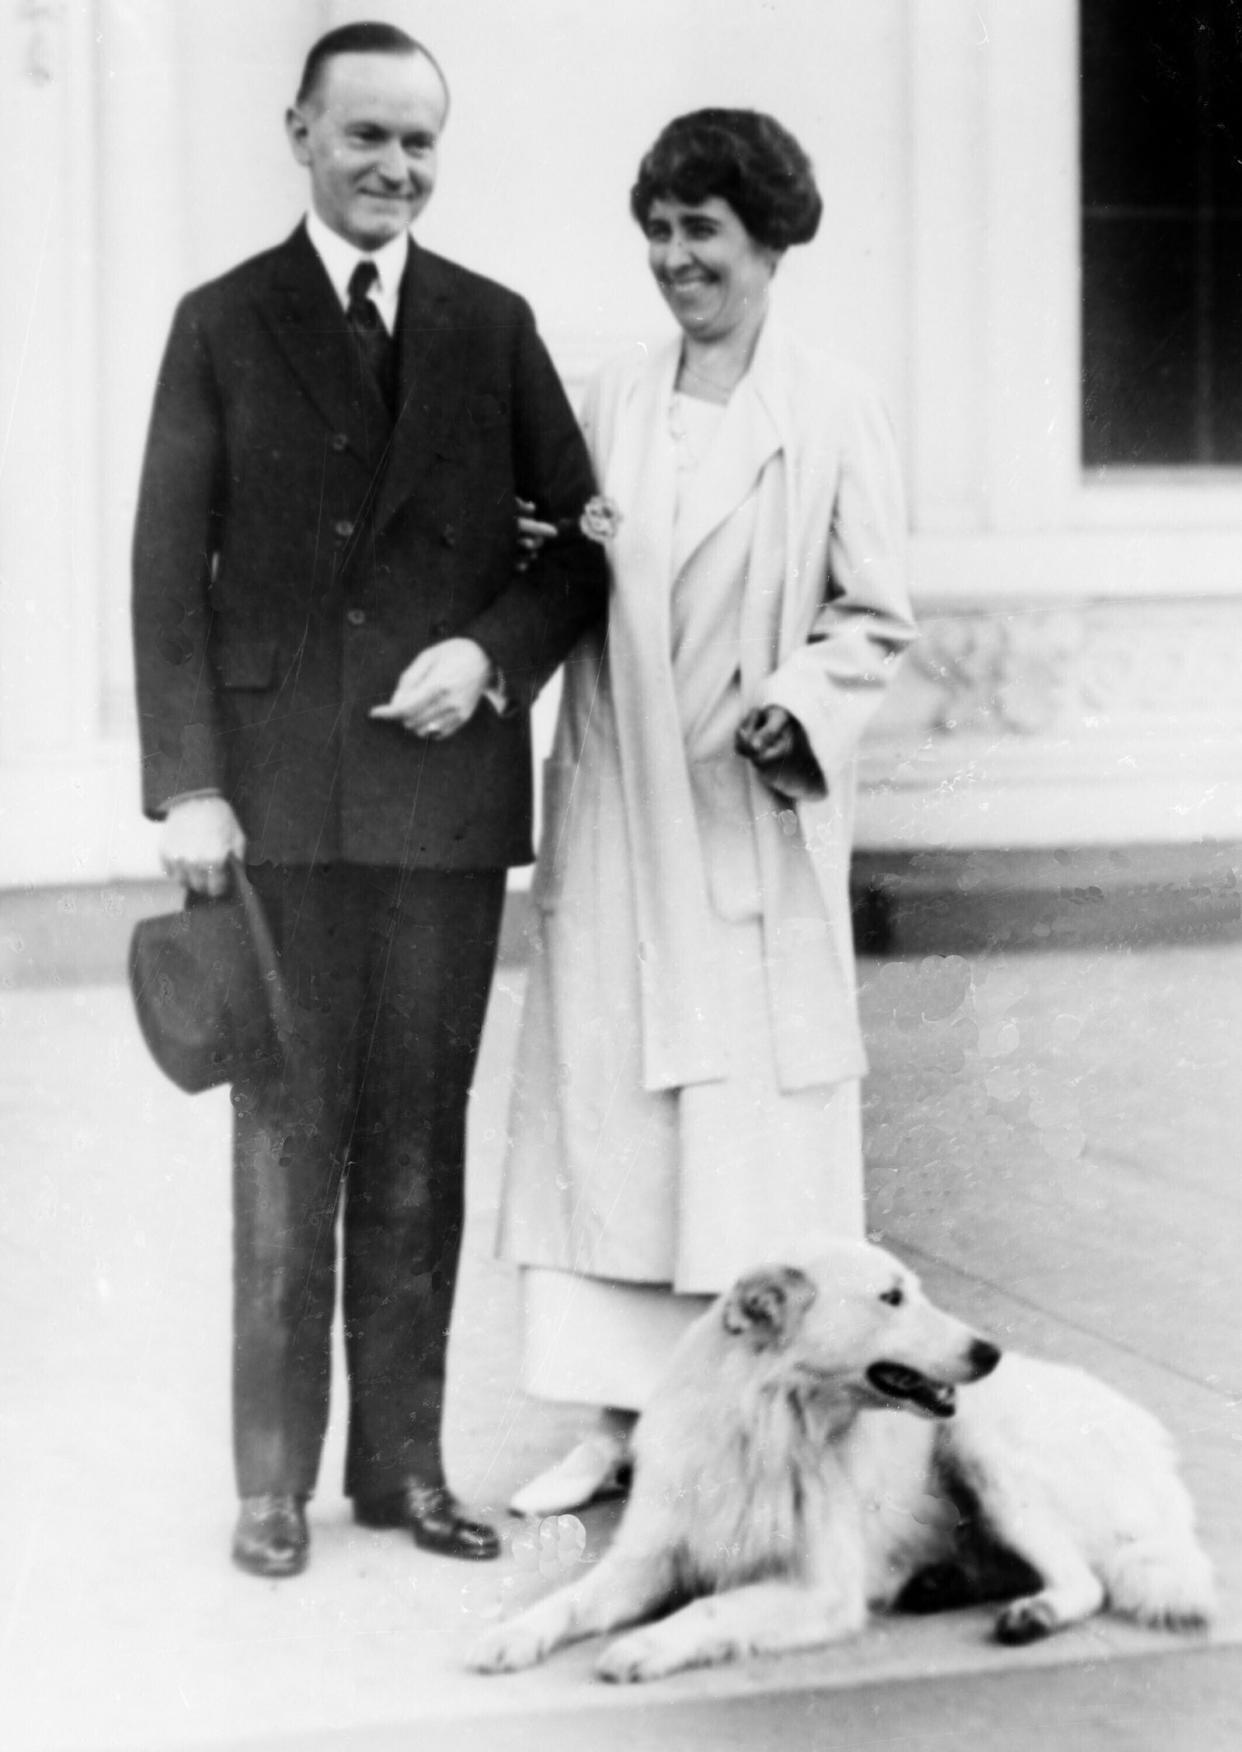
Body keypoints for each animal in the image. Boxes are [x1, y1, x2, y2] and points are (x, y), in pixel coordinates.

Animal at [469, 1240, 1219, 1674]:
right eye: (891, 1298)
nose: (990, 1353)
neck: (769, 1429)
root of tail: (1152, 1440)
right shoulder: (648, 1560)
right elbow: (568, 1601)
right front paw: (512, 1634)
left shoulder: (816, 1589)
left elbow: (710, 1610)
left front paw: (647, 1645)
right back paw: (941, 1584)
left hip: (981, 1445)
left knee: (1084, 1582)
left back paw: (1030, 1613)